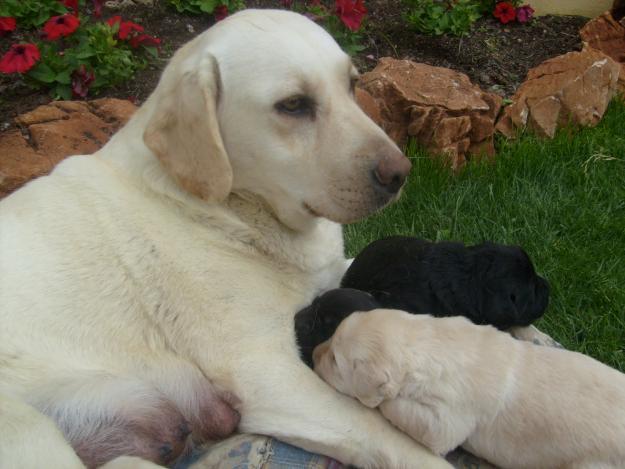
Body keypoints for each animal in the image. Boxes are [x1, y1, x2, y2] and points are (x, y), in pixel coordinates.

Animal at [0, 8, 450, 468]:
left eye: (352, 84)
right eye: (293, 105)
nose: (400, 174)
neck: (232, 213)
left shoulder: (336, 274)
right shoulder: (267, 374)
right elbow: (391, 439)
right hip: (36, 434)